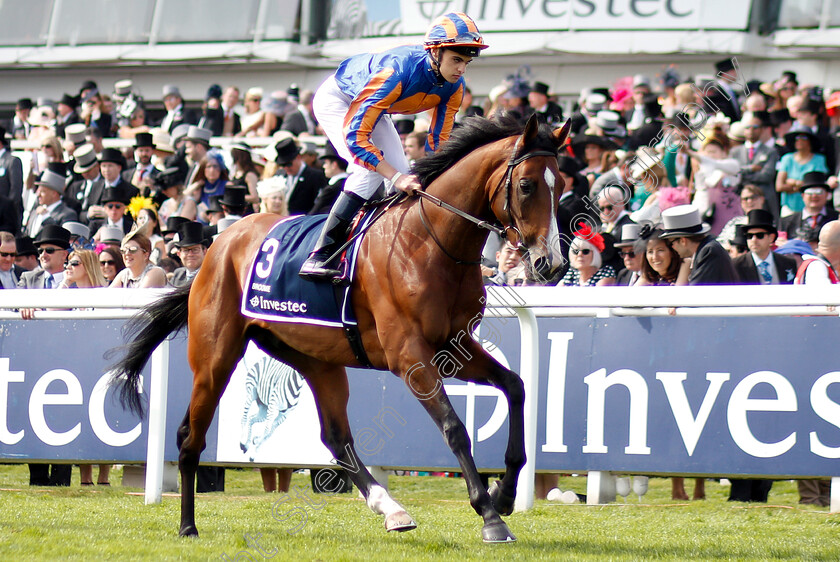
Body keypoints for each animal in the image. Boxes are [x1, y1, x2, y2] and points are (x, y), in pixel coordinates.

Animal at [111, 115, 568, 544]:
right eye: (526, 185)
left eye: (561, 183)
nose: (552, 264)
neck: (429, 241)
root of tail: (218, 245)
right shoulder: (410, 355)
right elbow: (455, 429)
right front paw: (490, 515)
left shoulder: (454, 347)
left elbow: (515, 386)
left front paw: (505, 493)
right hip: (214, 358)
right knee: (190, 437)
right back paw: (187, 525)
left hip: (316, 359)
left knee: (335, 437)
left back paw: (391, 509)